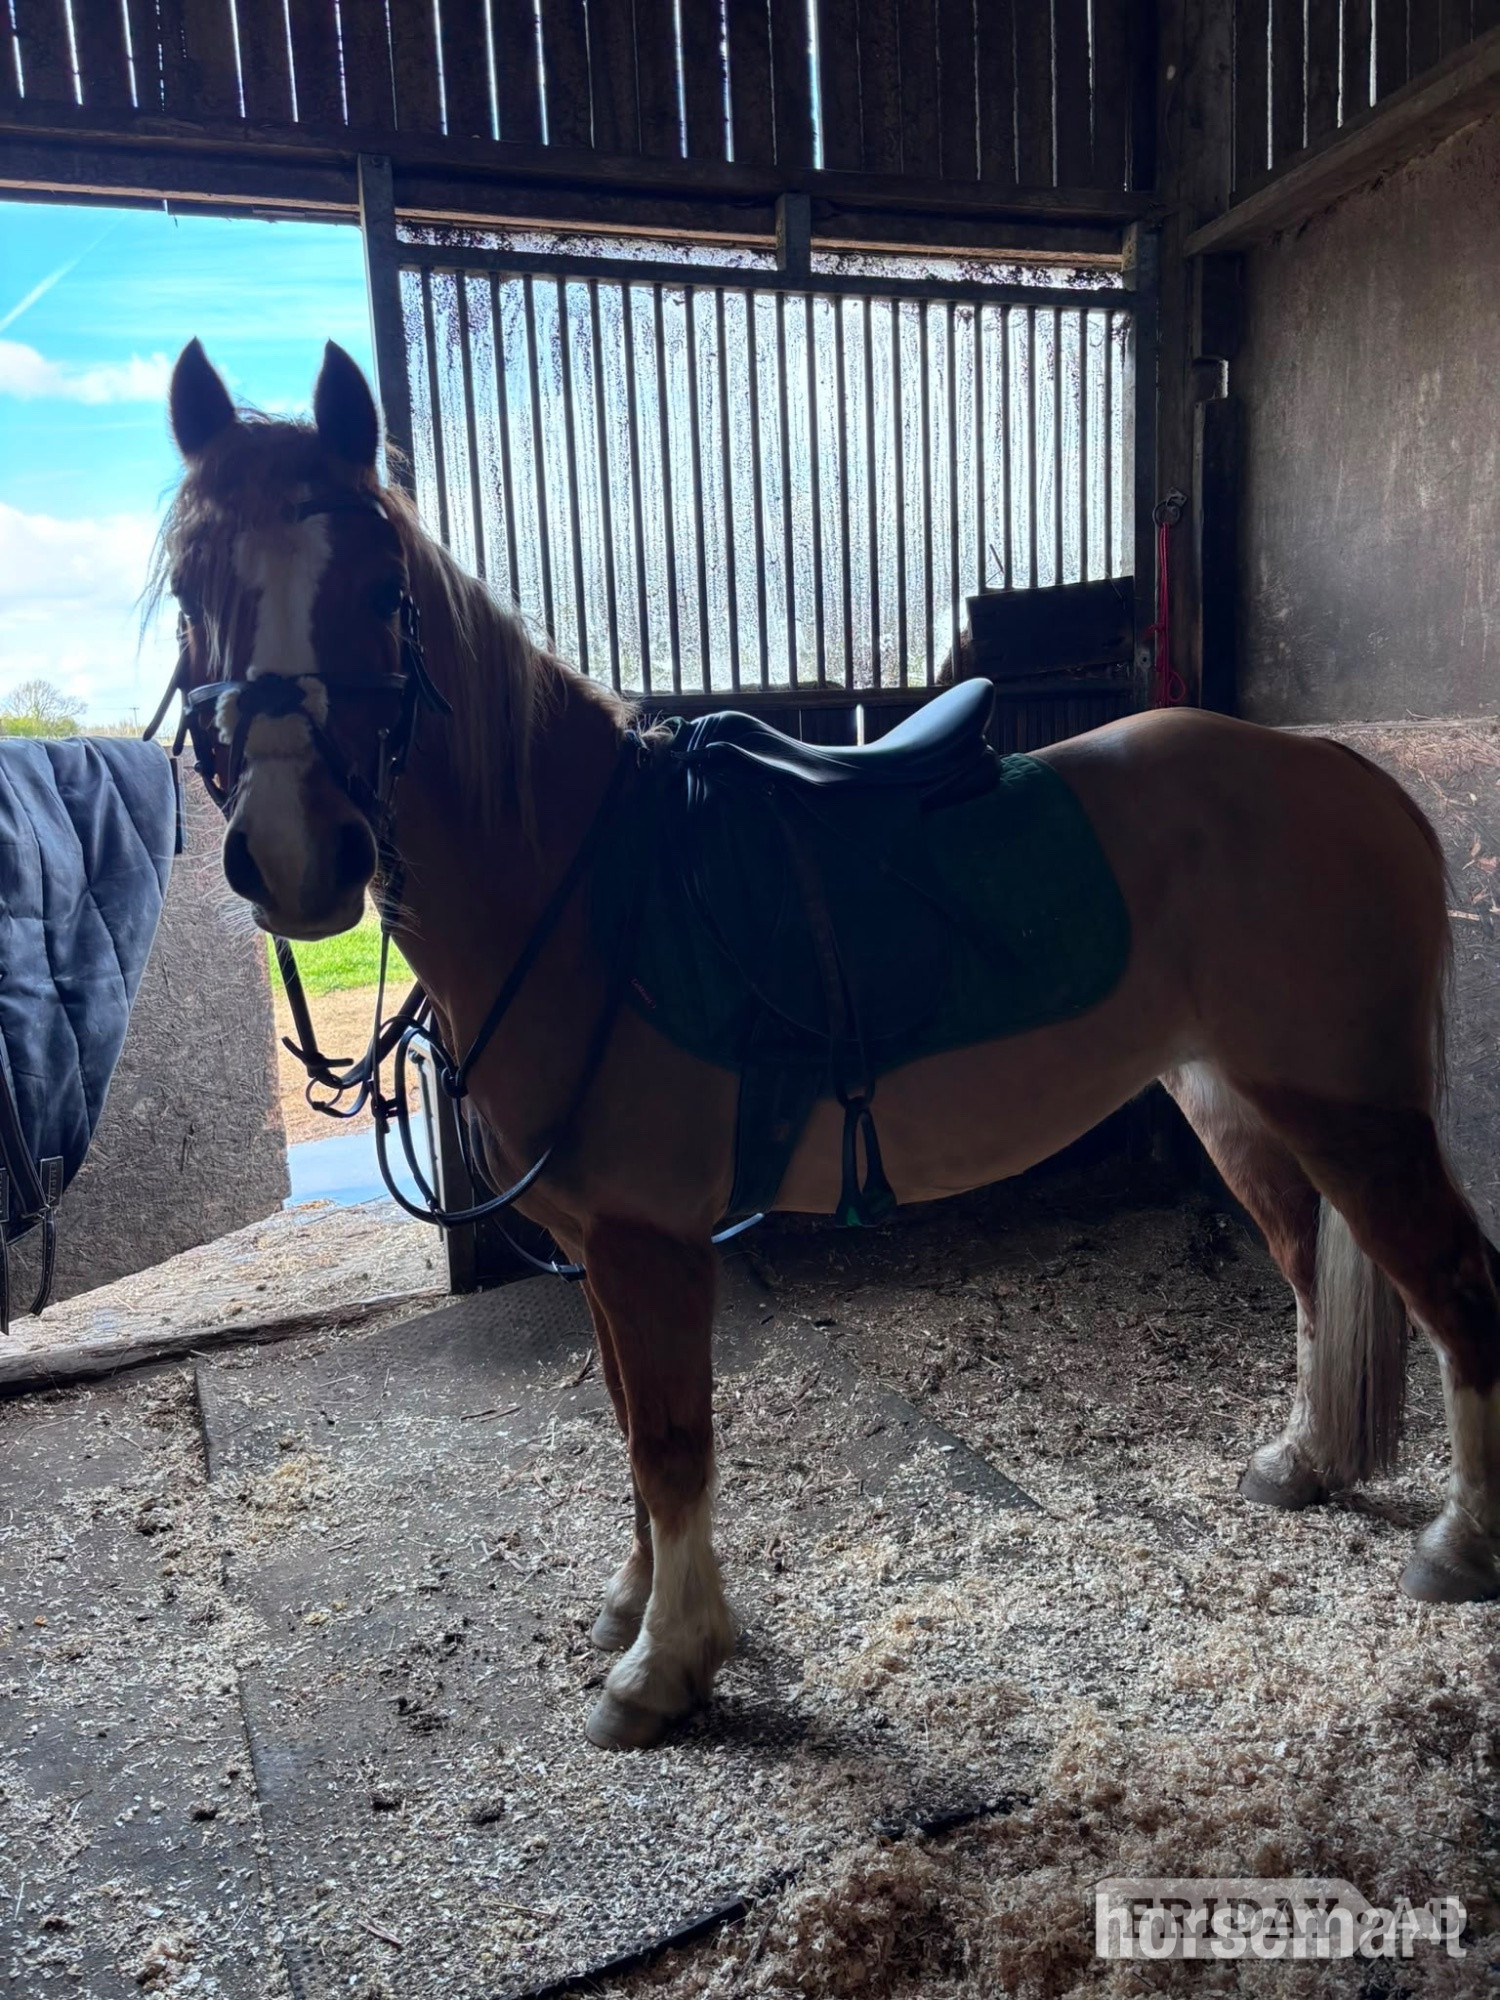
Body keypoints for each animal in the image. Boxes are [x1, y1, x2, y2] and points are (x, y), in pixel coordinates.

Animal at [153, 337, 1500, 1750]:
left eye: (378, 588)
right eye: (192, 589)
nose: (295, 859)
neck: (583, 883)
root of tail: (1348, 774)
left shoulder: (647, 1240)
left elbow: (670, 1439)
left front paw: (667, 1665)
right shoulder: (601, 1249)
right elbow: (628, 1417)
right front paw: (634, 1607)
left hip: (1352, 1107)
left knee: (1457, 1287)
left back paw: (1464, 1544)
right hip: (1235, 1099)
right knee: (1309, 1267)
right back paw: (1303, 1462)